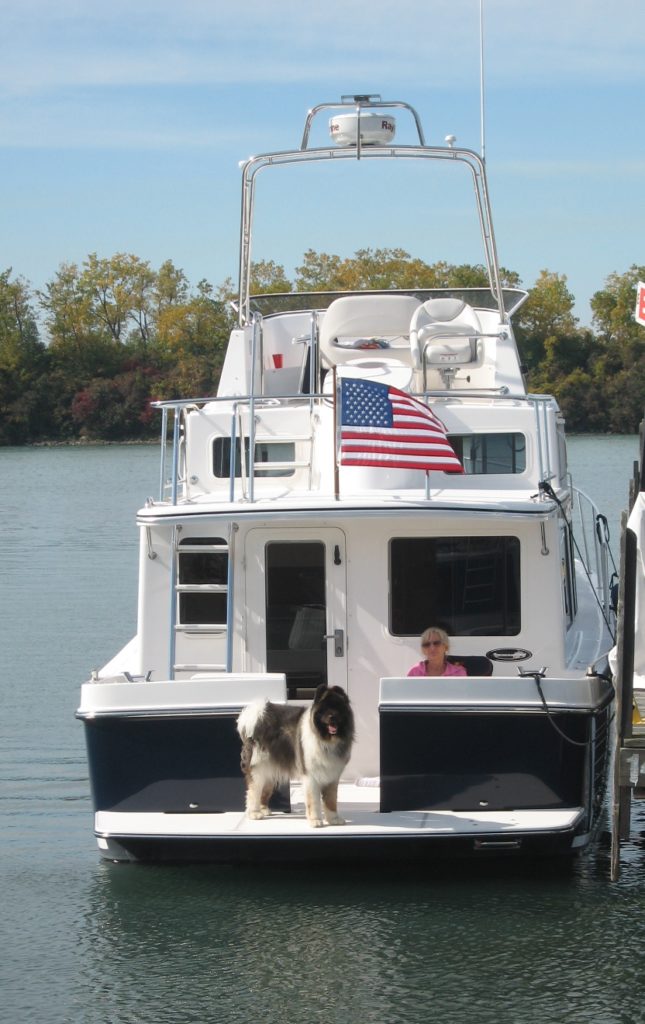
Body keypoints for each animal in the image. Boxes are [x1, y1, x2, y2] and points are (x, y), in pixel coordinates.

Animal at [237, 684, 356, 827]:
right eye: (325, 709)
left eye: (338, 707)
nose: (332, 716)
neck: (326, 740)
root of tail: (257, 716)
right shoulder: (311, 776)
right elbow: (314, 801)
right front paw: (315, 820)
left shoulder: (332, 777)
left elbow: (331, 800)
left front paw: (334, 819)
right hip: (258, 769)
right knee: (253, 791)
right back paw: (254, 813)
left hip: (269, 769)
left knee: (264, 790)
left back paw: (264, 810)